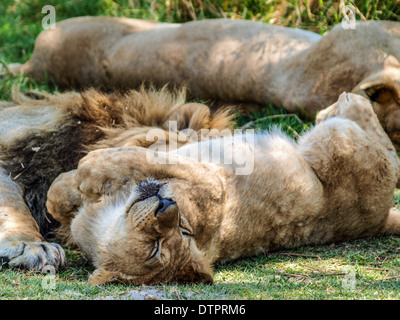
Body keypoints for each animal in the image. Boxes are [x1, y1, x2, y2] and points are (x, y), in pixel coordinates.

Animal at [43, 92, 400, 284]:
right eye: (155, 248)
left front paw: (84, 172)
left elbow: (136, 157)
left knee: (386, 150)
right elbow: (57, 200)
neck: (107, 221)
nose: (166, 206)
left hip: (334, 138)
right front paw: (74, 187)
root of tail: (380, 220)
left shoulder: (211, 180)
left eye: (183, 230)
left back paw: (348, 100)